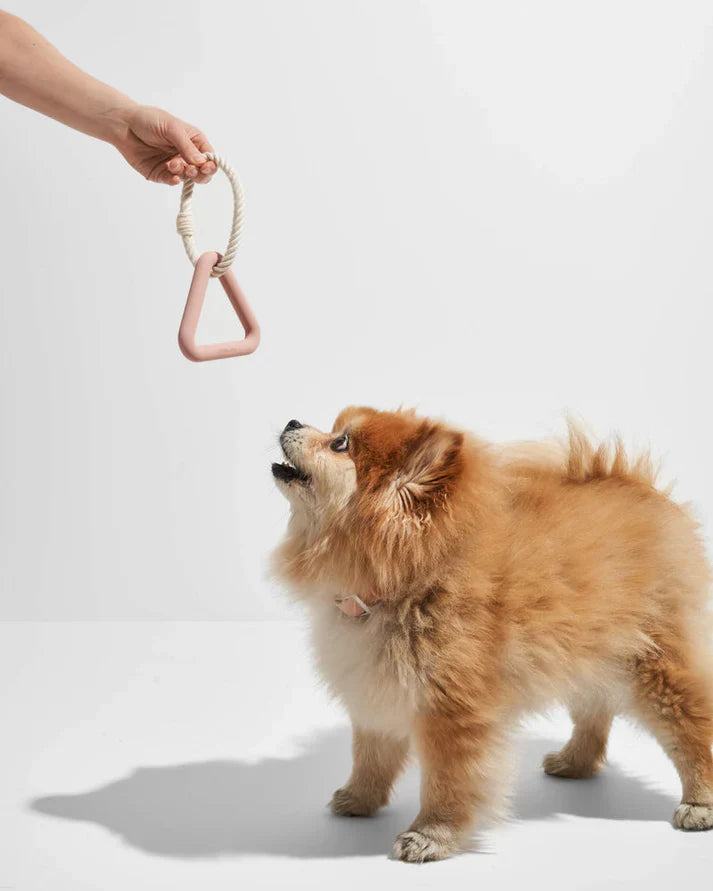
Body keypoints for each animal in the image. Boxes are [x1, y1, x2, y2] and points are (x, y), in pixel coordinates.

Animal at [270, 410, 708, 864]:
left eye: (340, 443)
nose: (293, 420)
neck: (410, 580)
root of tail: (642, 487)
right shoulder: (377, 686)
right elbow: (370, 756)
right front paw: (359, 799)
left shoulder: (453, 710)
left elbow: (447, 782)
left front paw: (430, 835)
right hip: (586, 655)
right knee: (595, 709)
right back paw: (575, 762)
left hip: (655, 665)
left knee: (692, 724)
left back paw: (699, 802)